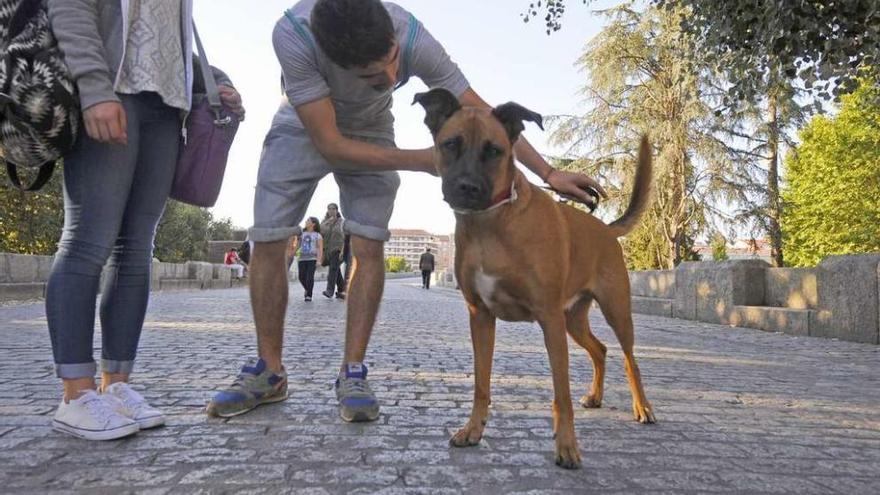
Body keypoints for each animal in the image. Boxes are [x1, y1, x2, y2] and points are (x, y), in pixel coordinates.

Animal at [416, 87, 656, 470]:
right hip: (573, 319)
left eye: (494, 150)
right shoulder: (480, 318)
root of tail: (605, 228)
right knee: (600, 349)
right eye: (450, 144)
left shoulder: (548, 318)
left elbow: (562, 394)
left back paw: (643, 407)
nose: (467, 187)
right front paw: (473, 429)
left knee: (630, 359)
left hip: (614, 311)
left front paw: (567, 446)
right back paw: (595, 396)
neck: (492, 224)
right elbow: (481, 384)